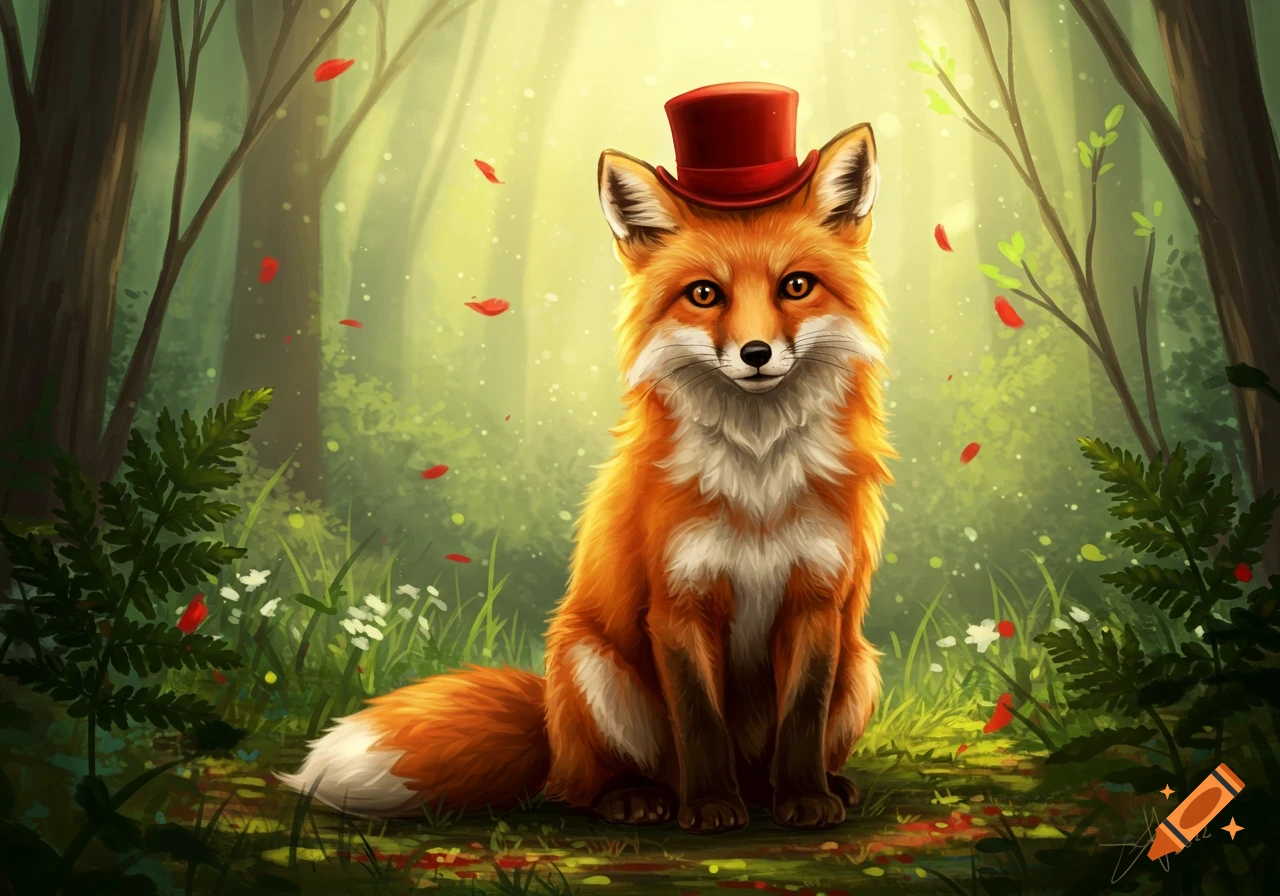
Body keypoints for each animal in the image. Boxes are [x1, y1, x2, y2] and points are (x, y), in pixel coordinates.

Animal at [279, 113, 892, 834]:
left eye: (795, 285)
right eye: (704, 294)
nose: (756, 353)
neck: (758, 478)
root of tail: (549, 725)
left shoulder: (816, 599)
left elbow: (801, 718)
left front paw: (804, 798)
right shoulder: (677, 604)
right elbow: (700, 723)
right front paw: (710, 807)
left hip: (861, 667)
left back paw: (815, 788)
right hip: (588, 662)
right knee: (586, 784)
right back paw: (639, 797)